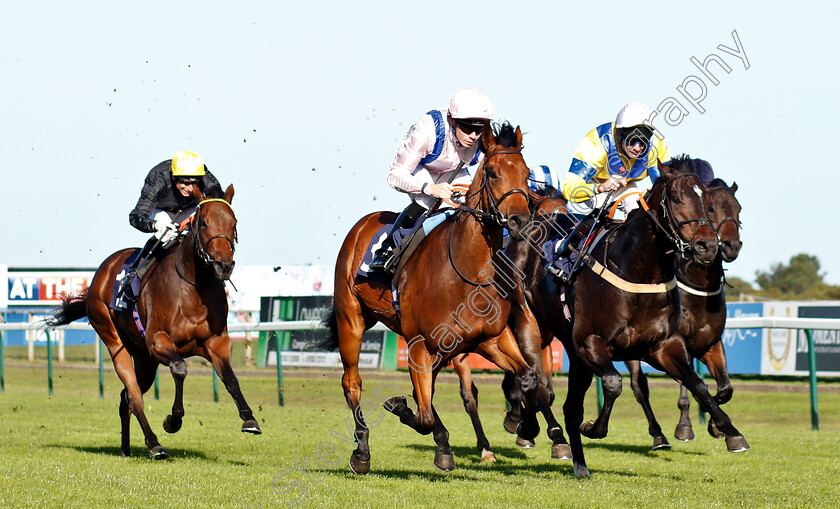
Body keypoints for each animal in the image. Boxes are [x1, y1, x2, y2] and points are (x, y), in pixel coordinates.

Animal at [45, 185, 256, 458]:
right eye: (204, 223)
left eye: (233, 223)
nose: (224, 265)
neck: (193, 287)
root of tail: (101, 273)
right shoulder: (157, 342)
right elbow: (180, 368)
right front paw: (172, 421)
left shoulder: (217, 342)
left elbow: (230, 378)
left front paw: (249, 419)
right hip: (114, 338)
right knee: (133, 394)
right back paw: (154, 444)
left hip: (144, 359)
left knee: (125, 397)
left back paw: (126, 449)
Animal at [322, 122, 540, 472]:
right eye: (492, 172)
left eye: (526, 172)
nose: (520, 221)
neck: (468, 270)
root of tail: (362, 225)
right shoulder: (418, 343)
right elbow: (422, 416)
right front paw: (400, 409)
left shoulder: (489, 337)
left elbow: (528, 376)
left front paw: (521, 423)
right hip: (350, 321)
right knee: (352, 382)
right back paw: (362, 450)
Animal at [502, 160, 752, 476]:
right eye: (676, 198)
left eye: (708, 203)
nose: (709, 245)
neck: (636, 270)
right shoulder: (591, 342)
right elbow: (613, 383)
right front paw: (593, 428)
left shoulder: (667, 346)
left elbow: (699, 384)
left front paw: (730, 431)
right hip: (531, 329)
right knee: (536, 382)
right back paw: (530, 428)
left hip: (572, 350)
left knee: (568, 405)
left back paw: (578, 463)